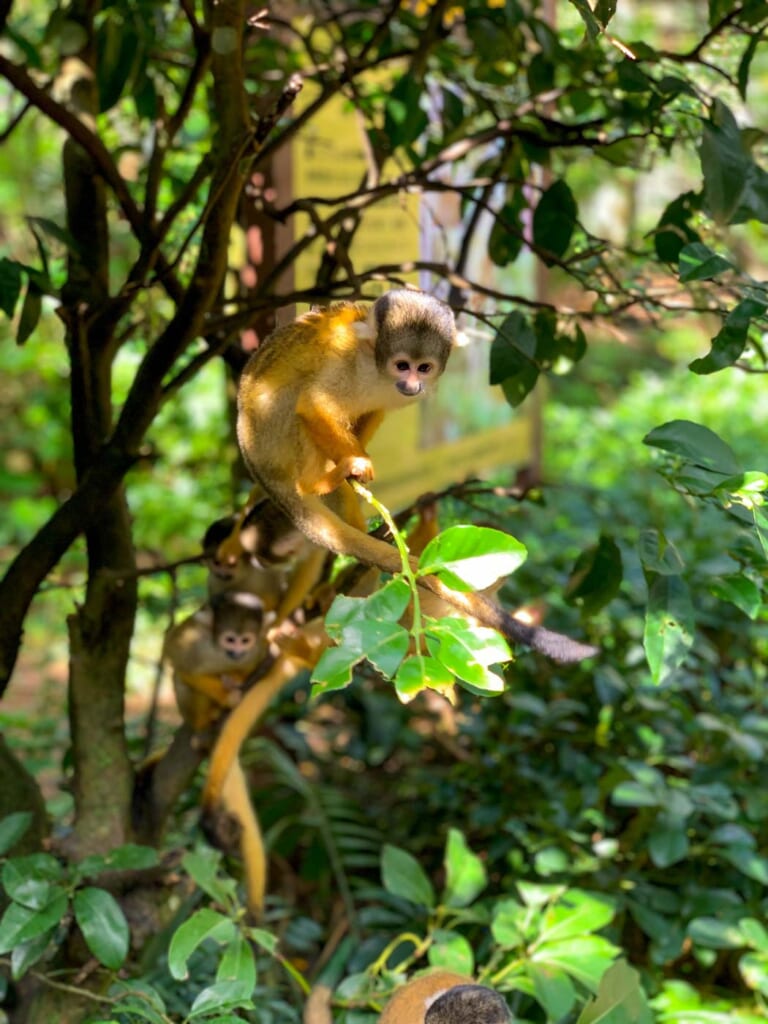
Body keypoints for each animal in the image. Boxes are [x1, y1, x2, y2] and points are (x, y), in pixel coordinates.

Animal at [237, 290, 597, 663]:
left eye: (423, 367)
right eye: (402, 365)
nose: (412, 383)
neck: (376, 367)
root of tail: (253, 456)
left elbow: (373, 410)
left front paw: (356, 457)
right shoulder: (344, 359)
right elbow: (313, 405)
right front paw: (354, 461)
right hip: (270, 435)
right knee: (294, 400)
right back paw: (315, 481)